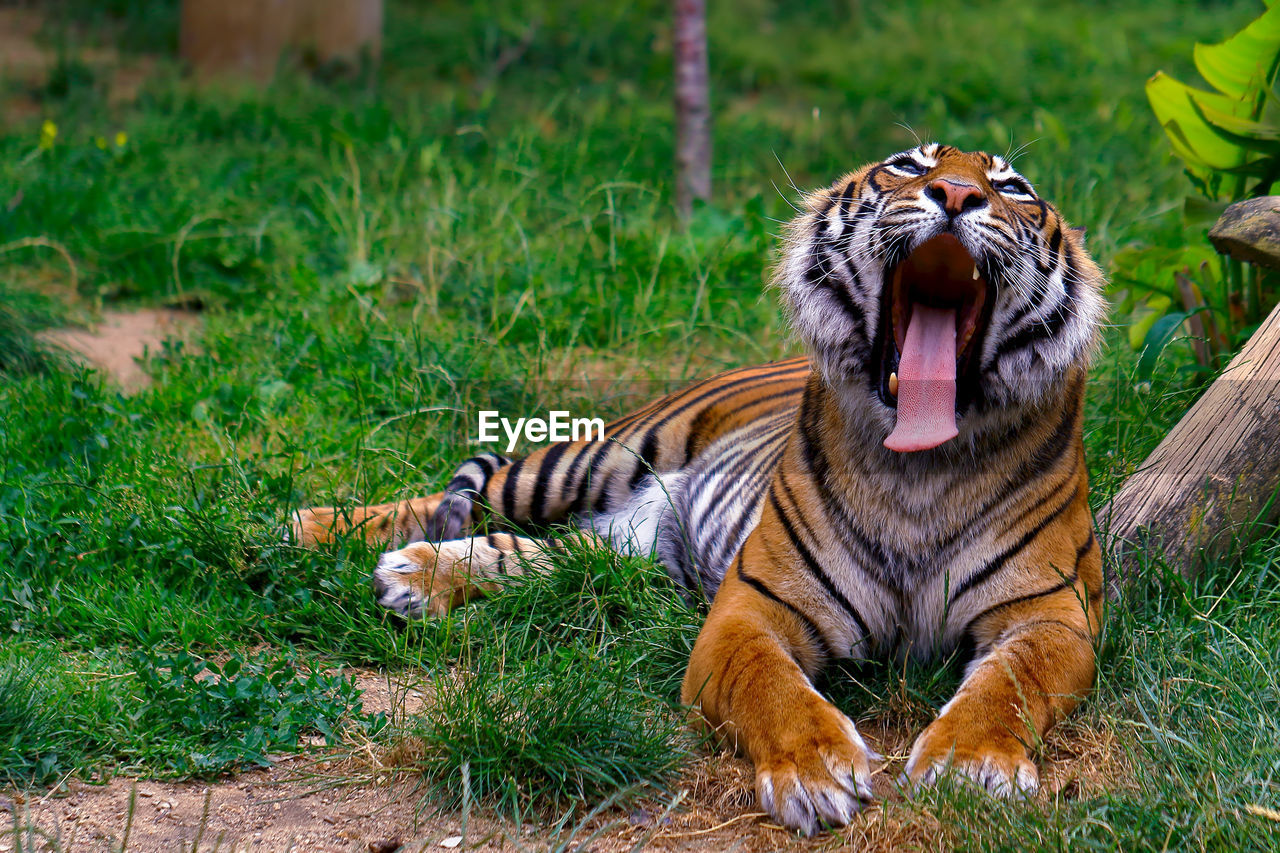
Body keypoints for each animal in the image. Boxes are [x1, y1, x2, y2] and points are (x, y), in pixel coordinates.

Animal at [293, 144, 1111, 829]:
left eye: (1011, 187)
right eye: (910, 165)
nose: (957, 193)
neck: (920, 468)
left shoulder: (1052, 616)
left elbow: (1010, 684)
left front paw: (969, 766)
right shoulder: (750, 606)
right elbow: (770, 685)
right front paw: (814, 770)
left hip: (619, 547)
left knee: (539, 556)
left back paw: (414, 577)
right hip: (600, 455)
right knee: (473, 491)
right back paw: (312, 527)